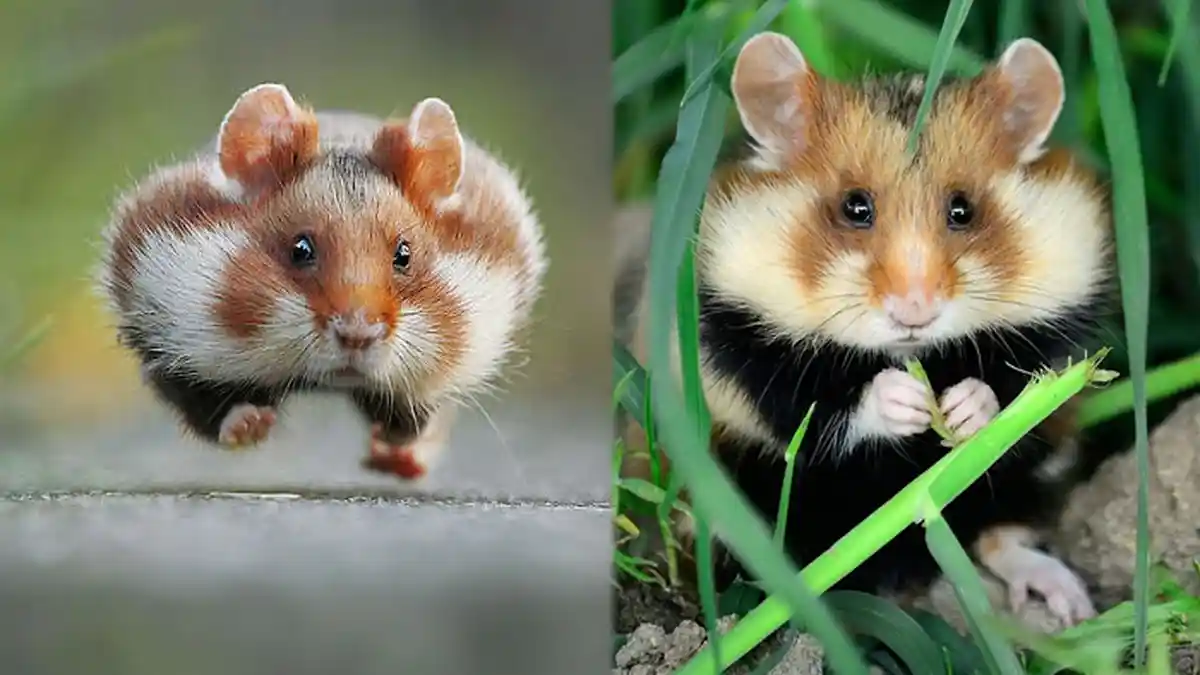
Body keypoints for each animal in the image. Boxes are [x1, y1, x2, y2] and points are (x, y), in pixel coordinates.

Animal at [97, 83, 547, 480]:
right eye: (300, 249)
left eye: (404, 255)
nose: (357, 335)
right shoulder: (169, 344)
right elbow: (211, 409)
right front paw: (253, 425)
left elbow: (416, 415)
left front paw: (389, 436)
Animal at [623, 33, 1113, 626]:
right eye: (855, 207)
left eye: (963, 210)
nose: (915, 312)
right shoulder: (740, 351)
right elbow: (816, 412)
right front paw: (905, 400)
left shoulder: (1054, 343)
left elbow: (1017, 391)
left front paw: (963, 407)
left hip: (1018, 482)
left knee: (998, 531)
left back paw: (1070, 602)